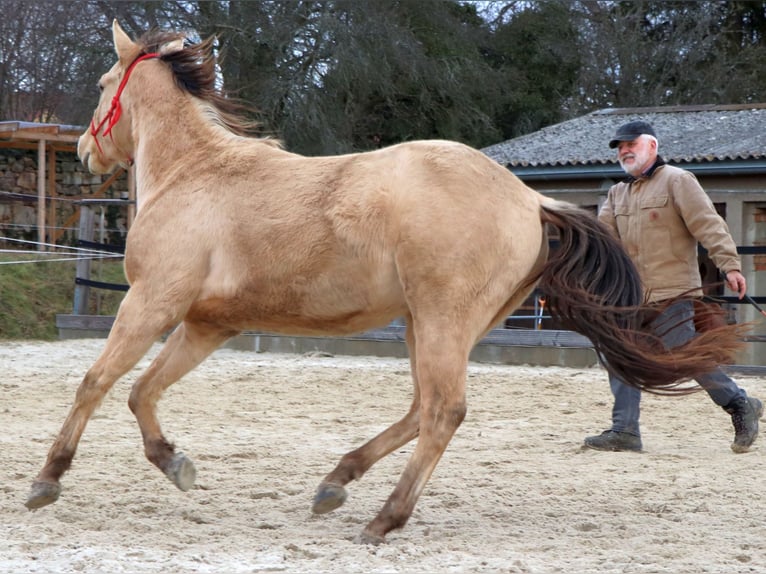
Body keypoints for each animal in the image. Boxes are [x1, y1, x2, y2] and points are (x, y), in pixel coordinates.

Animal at [27, 21, 748, 544]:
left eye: (102, 82)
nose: (86, 150)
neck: (194, 174)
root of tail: (529, 200)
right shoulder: (207, 324)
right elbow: (142, 391)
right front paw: (176, 464)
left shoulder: (154, 302)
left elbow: (97, 381)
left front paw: (47, 481)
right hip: (429, 324)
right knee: (420, 410)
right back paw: (335, 484)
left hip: (440, 319)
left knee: (443, 411)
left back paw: (383, 519)